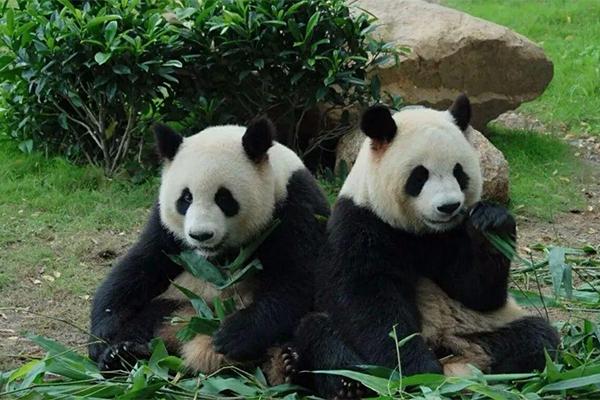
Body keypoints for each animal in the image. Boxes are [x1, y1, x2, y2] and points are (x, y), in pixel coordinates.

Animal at [89, 117, 330, 374]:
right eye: (186, 198)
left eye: (224, 198)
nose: (200, 235)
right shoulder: (166, 229)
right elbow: (140, 265)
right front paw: (102, 337)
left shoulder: (296, 205)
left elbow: (297, 279)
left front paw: (235, 336)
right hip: (179, 304)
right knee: (152, 319)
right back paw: (122, 354)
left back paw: (287, 364)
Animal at [282, 96, 564, 396]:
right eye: (419, 176)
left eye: (459, 172)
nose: (449, 206)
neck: (421, 232)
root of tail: (455, 355)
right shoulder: (361, 222)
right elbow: (370, 303)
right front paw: (418, 371)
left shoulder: (453, 234)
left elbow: (477, 293)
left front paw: (492, 224)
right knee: (319, 331)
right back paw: (341, 380)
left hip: (484, 330)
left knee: (537, 340)